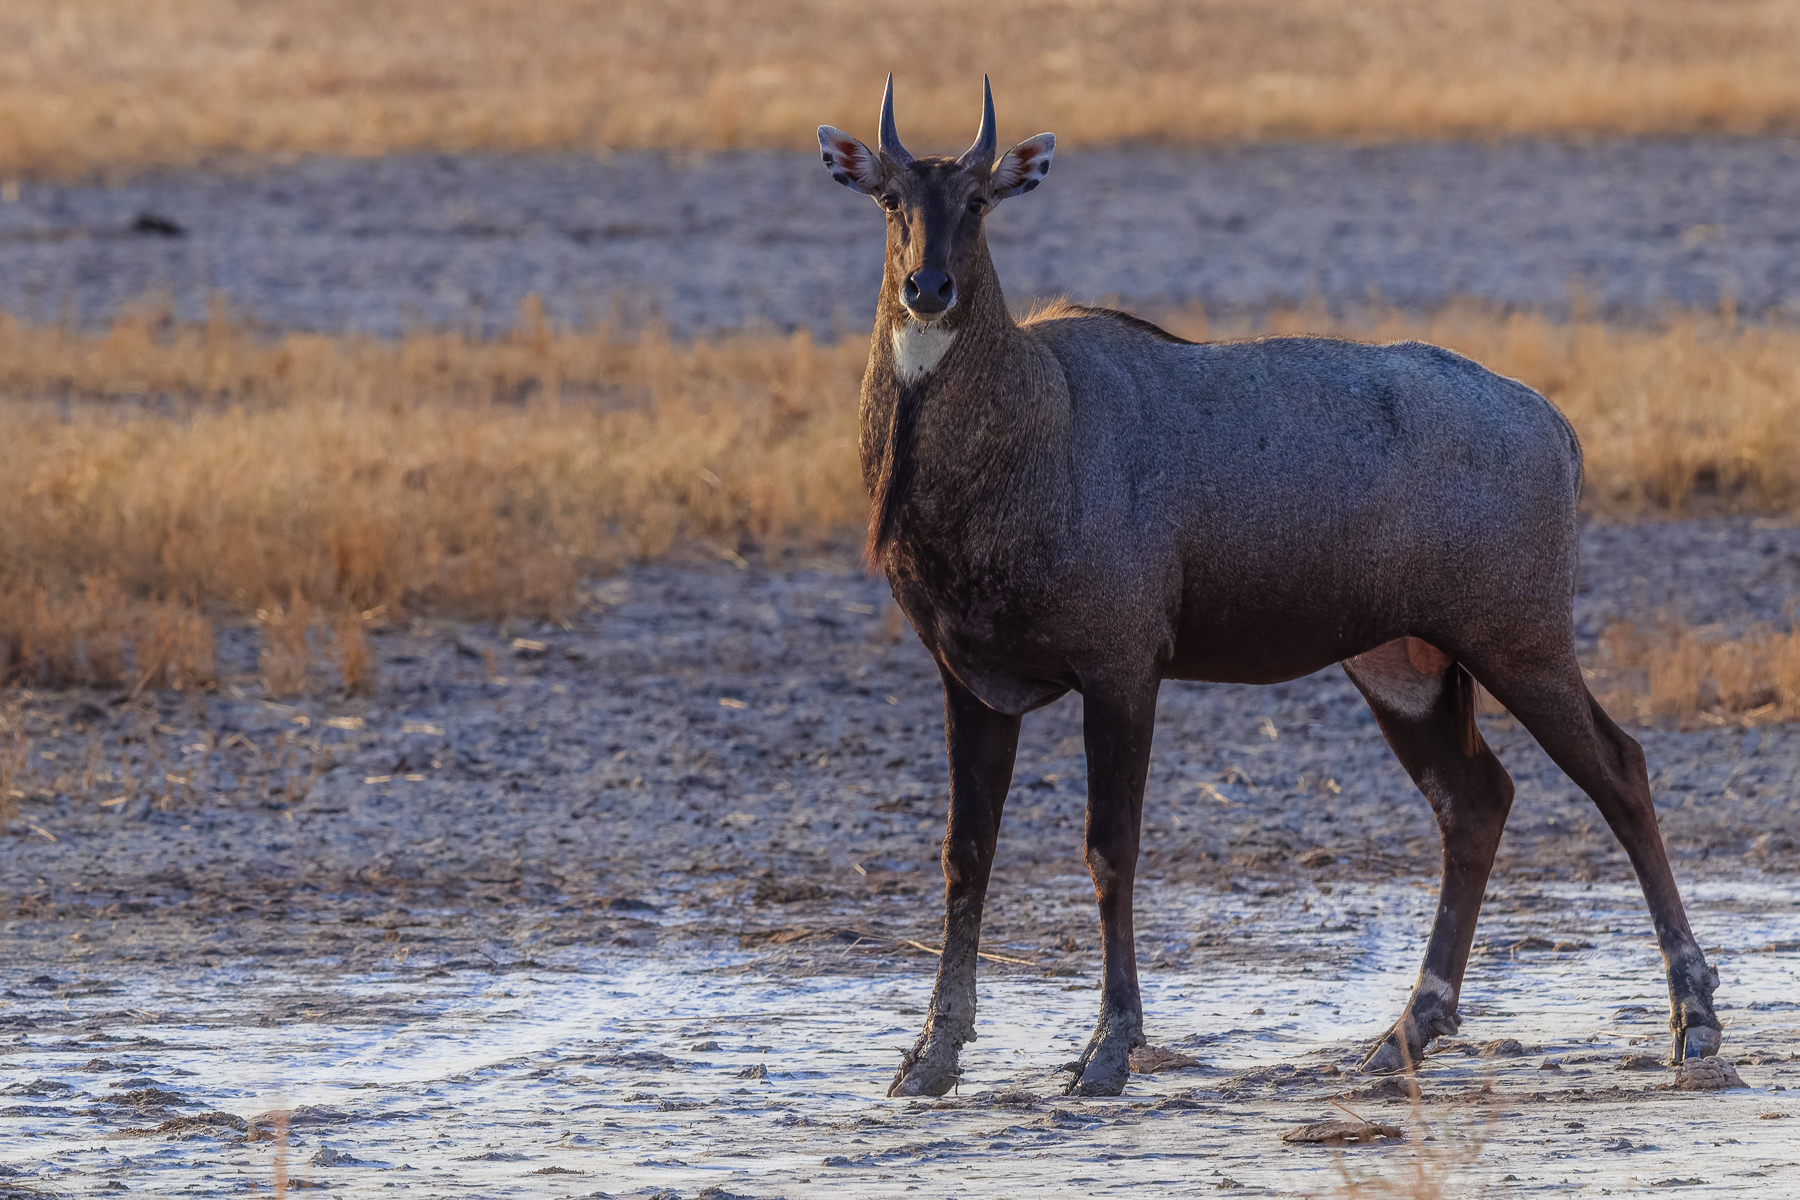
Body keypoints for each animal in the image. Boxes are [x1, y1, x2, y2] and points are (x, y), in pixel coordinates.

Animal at [818, 77, 1722, 1098]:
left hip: (1518, 641)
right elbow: (964, 855)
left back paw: (1693, 1024)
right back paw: (1403, 1035)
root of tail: (1556, 427)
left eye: (979, 201)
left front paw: (1107, 1050)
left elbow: (1110, 849)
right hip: (1402, 664)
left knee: (1620, 772)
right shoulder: (970, 679)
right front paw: (929, 1057)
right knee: (1475, 801)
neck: (1033, 418)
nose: (927, 290)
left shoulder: (1122, 667)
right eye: (891, 199)